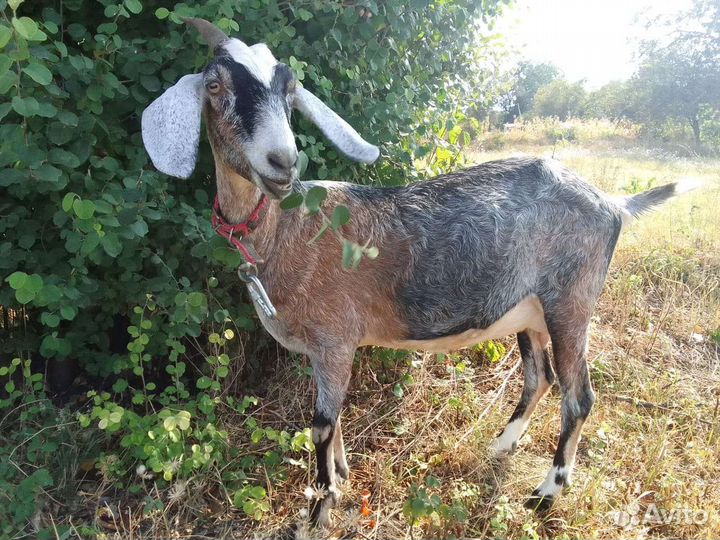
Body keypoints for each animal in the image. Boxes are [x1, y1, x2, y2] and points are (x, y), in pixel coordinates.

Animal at [141, 18, 697, 526]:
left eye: (289, 89)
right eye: (215, 86)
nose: (282, 161)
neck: (289, 228)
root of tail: (613, 203)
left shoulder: (335, 338)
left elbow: (320, 425)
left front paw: (321, 509)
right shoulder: (325, 351)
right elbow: (333, 420)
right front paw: (343, 477)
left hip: (572, 301)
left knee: (579, 397)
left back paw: (545, 493)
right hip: (529, 311)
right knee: (539, 377)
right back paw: (500, 446)